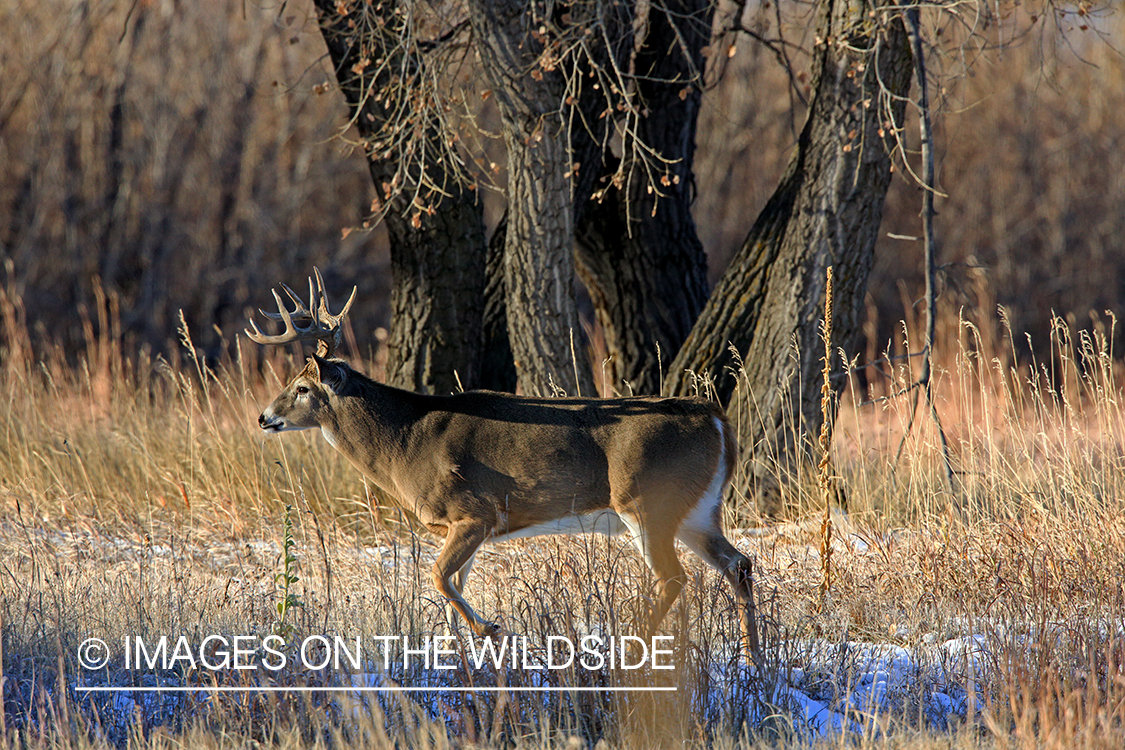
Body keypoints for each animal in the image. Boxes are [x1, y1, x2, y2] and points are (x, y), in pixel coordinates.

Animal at [248, 268, 765, 661]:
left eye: (302, 387)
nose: (264, 417)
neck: (405, 443)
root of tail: (718, 419)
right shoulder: (465, 526)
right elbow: (452, 585)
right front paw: (467, 651)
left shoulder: (475, 511)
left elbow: (438, 577)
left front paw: (491, 630)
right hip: (697, 509)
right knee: (739, 563)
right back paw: (753, 660)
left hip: (645, 500)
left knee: (675, 577)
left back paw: (629, 648)